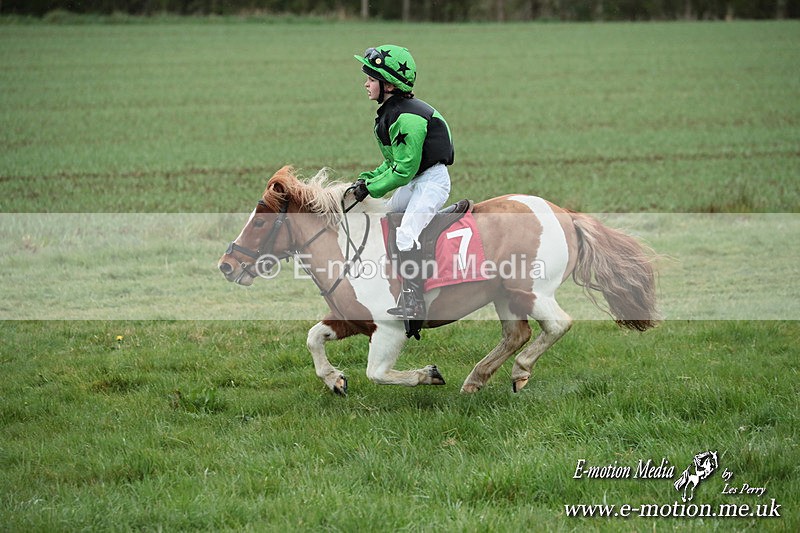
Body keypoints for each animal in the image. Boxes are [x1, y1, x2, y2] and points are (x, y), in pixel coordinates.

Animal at [218, 166, 659, 395]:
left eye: (260, 221)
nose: (226, 265)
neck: (347, 247)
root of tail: (565, 213)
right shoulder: (350, 319)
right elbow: (313, 338)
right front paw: (334, 380)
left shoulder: (389, 328)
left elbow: (378, 372)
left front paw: (428, 373)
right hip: (504, 295)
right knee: (516, 334)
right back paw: (476, 379)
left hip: (530, 290)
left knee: (557, 325)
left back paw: (518, 373)